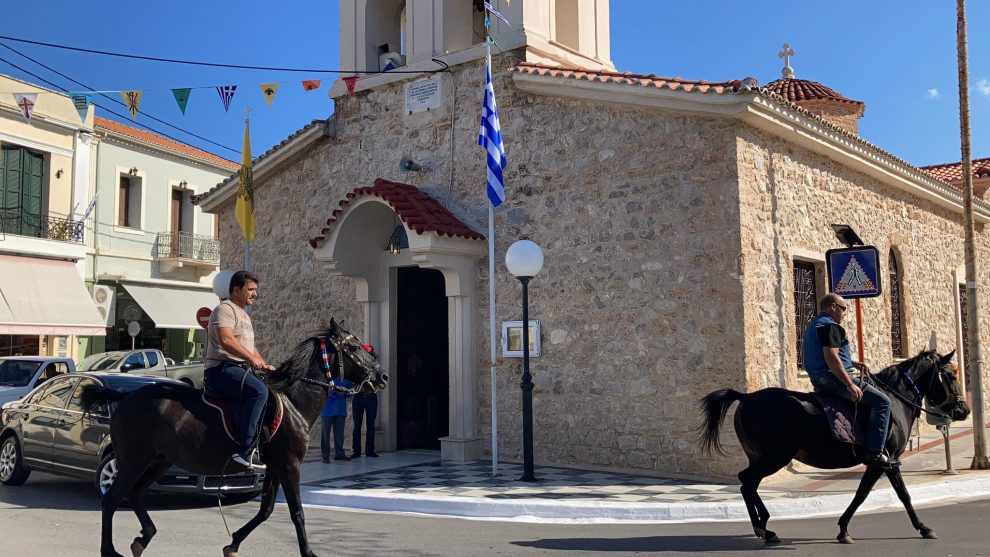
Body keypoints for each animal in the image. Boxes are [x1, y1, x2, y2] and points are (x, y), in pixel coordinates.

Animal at [79, 318, 390, 556]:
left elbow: (265, 511)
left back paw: (144, 537)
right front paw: (308, 552)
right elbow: (297, 512)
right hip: (134, 461)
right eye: (353, 347)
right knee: (112, 499)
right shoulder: (290, 465)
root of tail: (124, 396)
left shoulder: (273, 467)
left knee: (133, 493)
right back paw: (110, 550)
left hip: (158, 462)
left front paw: (233, 543)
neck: (294, 401)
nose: (383, 376)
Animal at [700, 352, 972, 544]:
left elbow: (874, 493)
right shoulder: (884, 461)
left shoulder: (883, 463)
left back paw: (765, 527)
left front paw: (844, 529)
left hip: (761, 458)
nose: (964, 410)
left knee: (748, 484)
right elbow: (885, 495)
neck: (895, 402)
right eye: (951, 376)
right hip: (773, 458)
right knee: (747, 482)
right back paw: (762, 528)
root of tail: (745, 397)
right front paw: (923, 528)